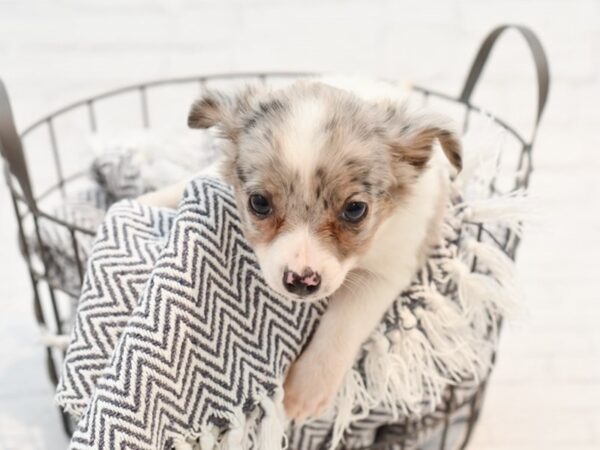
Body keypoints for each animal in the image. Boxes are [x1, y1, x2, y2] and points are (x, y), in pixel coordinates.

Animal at [143, 78, 462, 422]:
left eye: (355, 210)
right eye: (259, 202)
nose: (300, 281)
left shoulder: (387, 270)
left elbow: (343, 324)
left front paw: (307, 388)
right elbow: (184, 184)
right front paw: (141, 201)